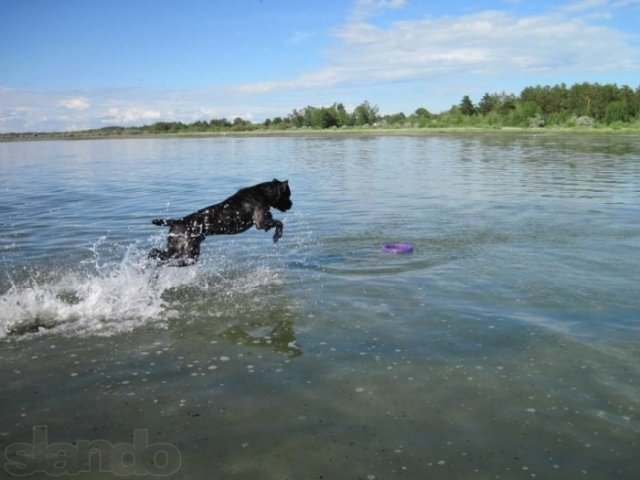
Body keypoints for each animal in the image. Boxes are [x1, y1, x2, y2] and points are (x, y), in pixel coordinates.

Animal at [149, 179, 292, 264]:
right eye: (288, 195)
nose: (291, 204)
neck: (263, 193)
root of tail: (177, 221)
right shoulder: (261, 223)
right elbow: (280, 223)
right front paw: (277, 236)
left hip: (181, 250)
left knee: (156, 252)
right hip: (186, 251)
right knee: (160, 255)